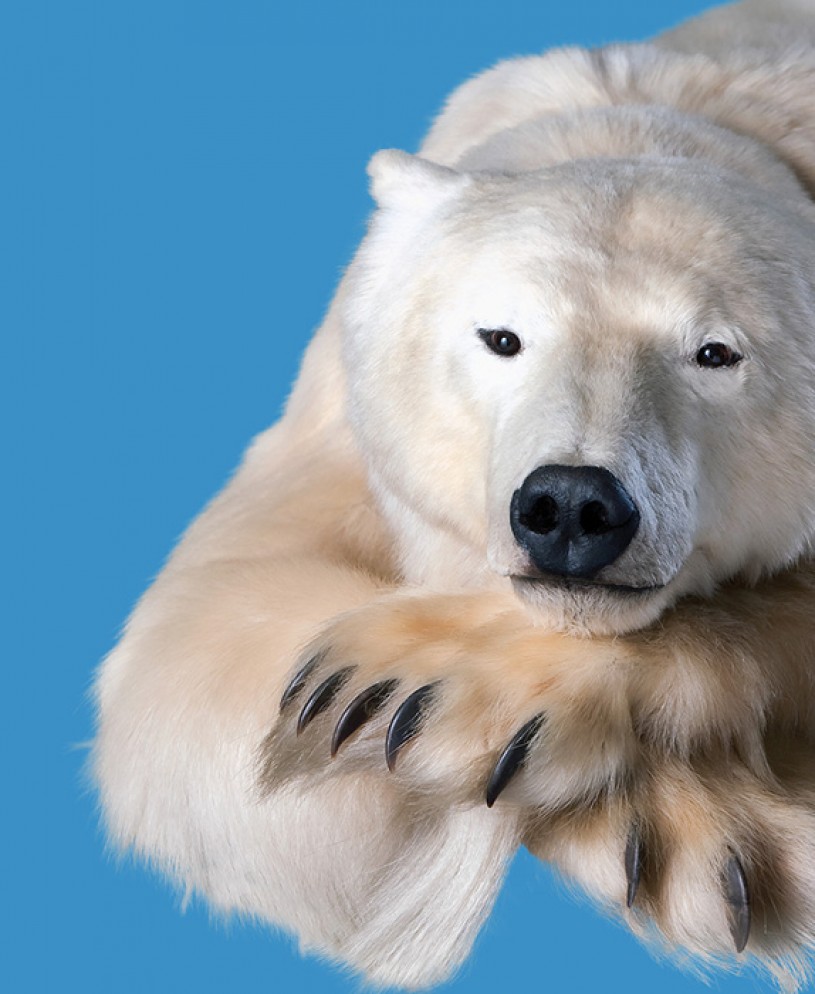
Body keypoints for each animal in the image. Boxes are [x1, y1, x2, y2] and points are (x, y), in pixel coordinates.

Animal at [92, 0, 815, 988]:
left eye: (714, 353)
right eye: (500, 337)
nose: (571, 507)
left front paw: (423, 682)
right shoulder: (341, 416)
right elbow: (199, 650)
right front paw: (688, 844)